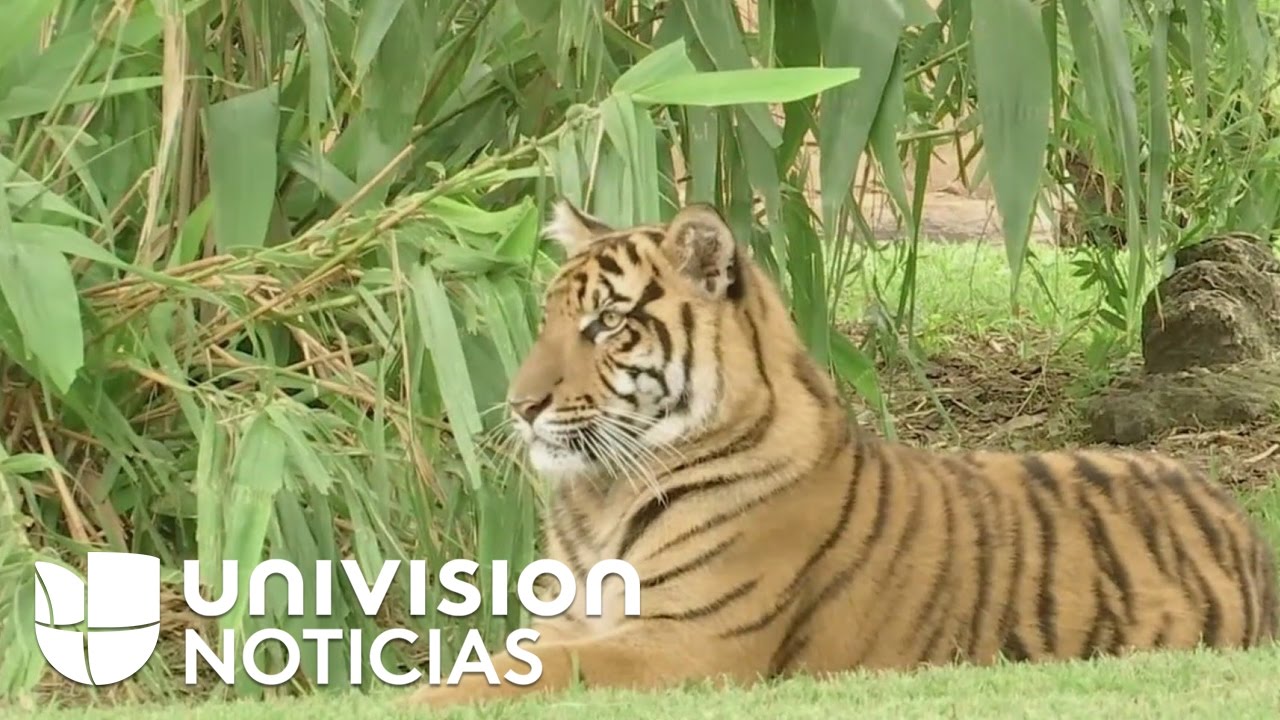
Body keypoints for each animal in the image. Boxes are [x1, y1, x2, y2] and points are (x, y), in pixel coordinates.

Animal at [403, 199, 1279, 709]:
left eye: (609, 325)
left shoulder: (683, 641)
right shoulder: (567, 624)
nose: (519, 406)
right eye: (549, 320)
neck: (601, 498)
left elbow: (510, 678)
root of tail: (1235, 515)